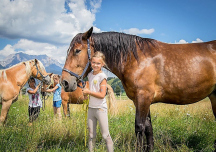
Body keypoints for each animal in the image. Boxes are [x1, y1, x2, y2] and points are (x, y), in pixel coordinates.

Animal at [60, 27, 216, 151]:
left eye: (77, 50)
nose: (65, 82)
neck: (136, 59)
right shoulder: (140, 100)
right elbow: (148, 128)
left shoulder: (143, 97)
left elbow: (139, 127)